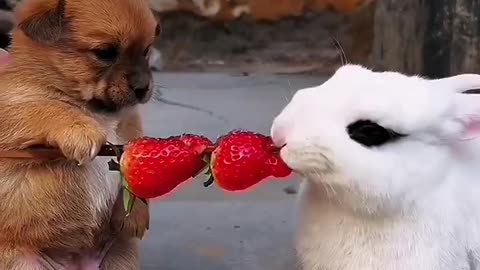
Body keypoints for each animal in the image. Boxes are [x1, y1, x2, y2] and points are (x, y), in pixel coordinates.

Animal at [0, 0, 159, 268]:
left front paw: (134, 214)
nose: (143, 88)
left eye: (146, 51)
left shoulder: (129, 126)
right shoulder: (12, 110)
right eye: (105, 52)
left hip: (120, 257)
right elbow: (48, 108)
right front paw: (81, 130)